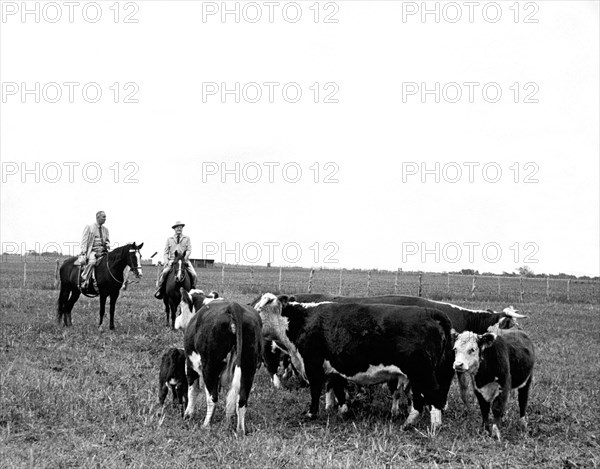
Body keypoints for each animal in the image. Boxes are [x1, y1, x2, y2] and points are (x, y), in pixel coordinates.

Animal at [177, 288, 264, 436]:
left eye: (179, 309)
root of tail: (234, 306)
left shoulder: (190, 364)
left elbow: (193, 390)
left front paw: (188, 415)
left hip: (210, 366)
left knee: (212, 397)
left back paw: (206, 425)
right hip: (248, 367)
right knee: (242, 400)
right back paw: (240, 430)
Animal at [253, 292, 454, 432]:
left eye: (261, 307)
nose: (251, 317)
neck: (302, 320)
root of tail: (430, 312)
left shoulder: (312, 365)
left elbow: (315, 390)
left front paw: (311, 413)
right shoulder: (334, 368)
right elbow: (339, 390)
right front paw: (343, 411)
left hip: (422, 372)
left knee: (434, 395)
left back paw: (434, 426)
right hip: (416, 374)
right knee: (419, 399)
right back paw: (408, 423)